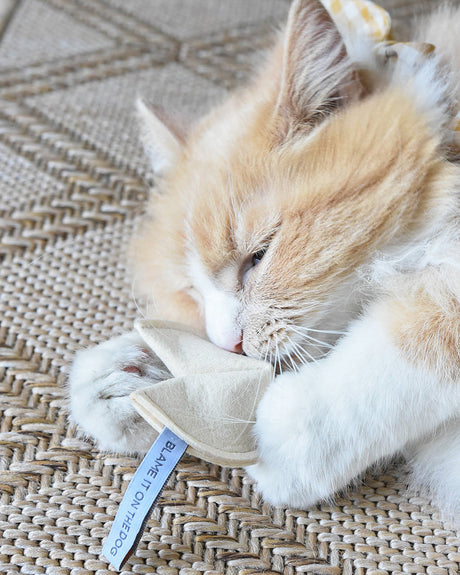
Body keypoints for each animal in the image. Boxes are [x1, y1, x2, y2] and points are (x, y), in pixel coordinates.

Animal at [68, 0, 460, 520]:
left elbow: (415, 339)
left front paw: (299, 430)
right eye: (193, 292)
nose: (230, 345)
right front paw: (126, 374)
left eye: (258, 257)